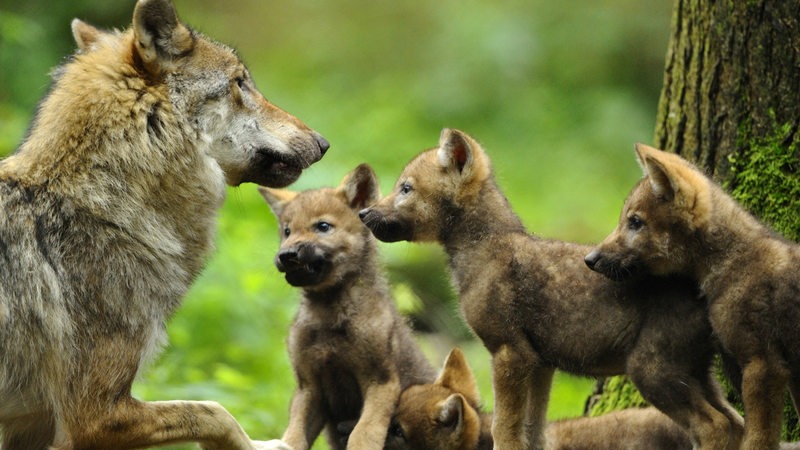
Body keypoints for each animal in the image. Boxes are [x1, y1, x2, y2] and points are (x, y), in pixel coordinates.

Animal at [0, 0, 328, 450]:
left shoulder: (31, 425)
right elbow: (215, 411)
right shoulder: (94, 416)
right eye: (240, 83)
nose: (323, 143)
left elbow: (212, 411)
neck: (103, 205)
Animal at [360, 129, 740, 450]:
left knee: (714, 426)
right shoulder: (541, 363)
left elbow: (504, 428)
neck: (483, 251)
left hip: (653, 372)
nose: (364, 212)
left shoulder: (509, 352)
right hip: (697, 374)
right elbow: (534, 432)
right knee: (735, 420)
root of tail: (702, 290)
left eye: (405, 188)